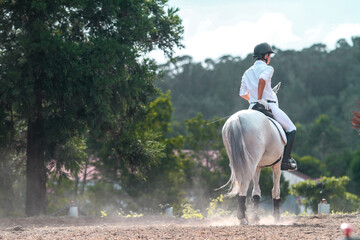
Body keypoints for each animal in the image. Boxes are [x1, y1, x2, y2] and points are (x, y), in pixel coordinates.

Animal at [221, 85, 286, 225]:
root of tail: (236, 119)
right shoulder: (277, 165)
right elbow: (275, 189)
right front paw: (276, 217)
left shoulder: (258, 166)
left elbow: (256, 191)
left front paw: (256, 216)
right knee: (244, 184)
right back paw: (242, 218)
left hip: (239, 162)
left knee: (241, 184)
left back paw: (245, 217)